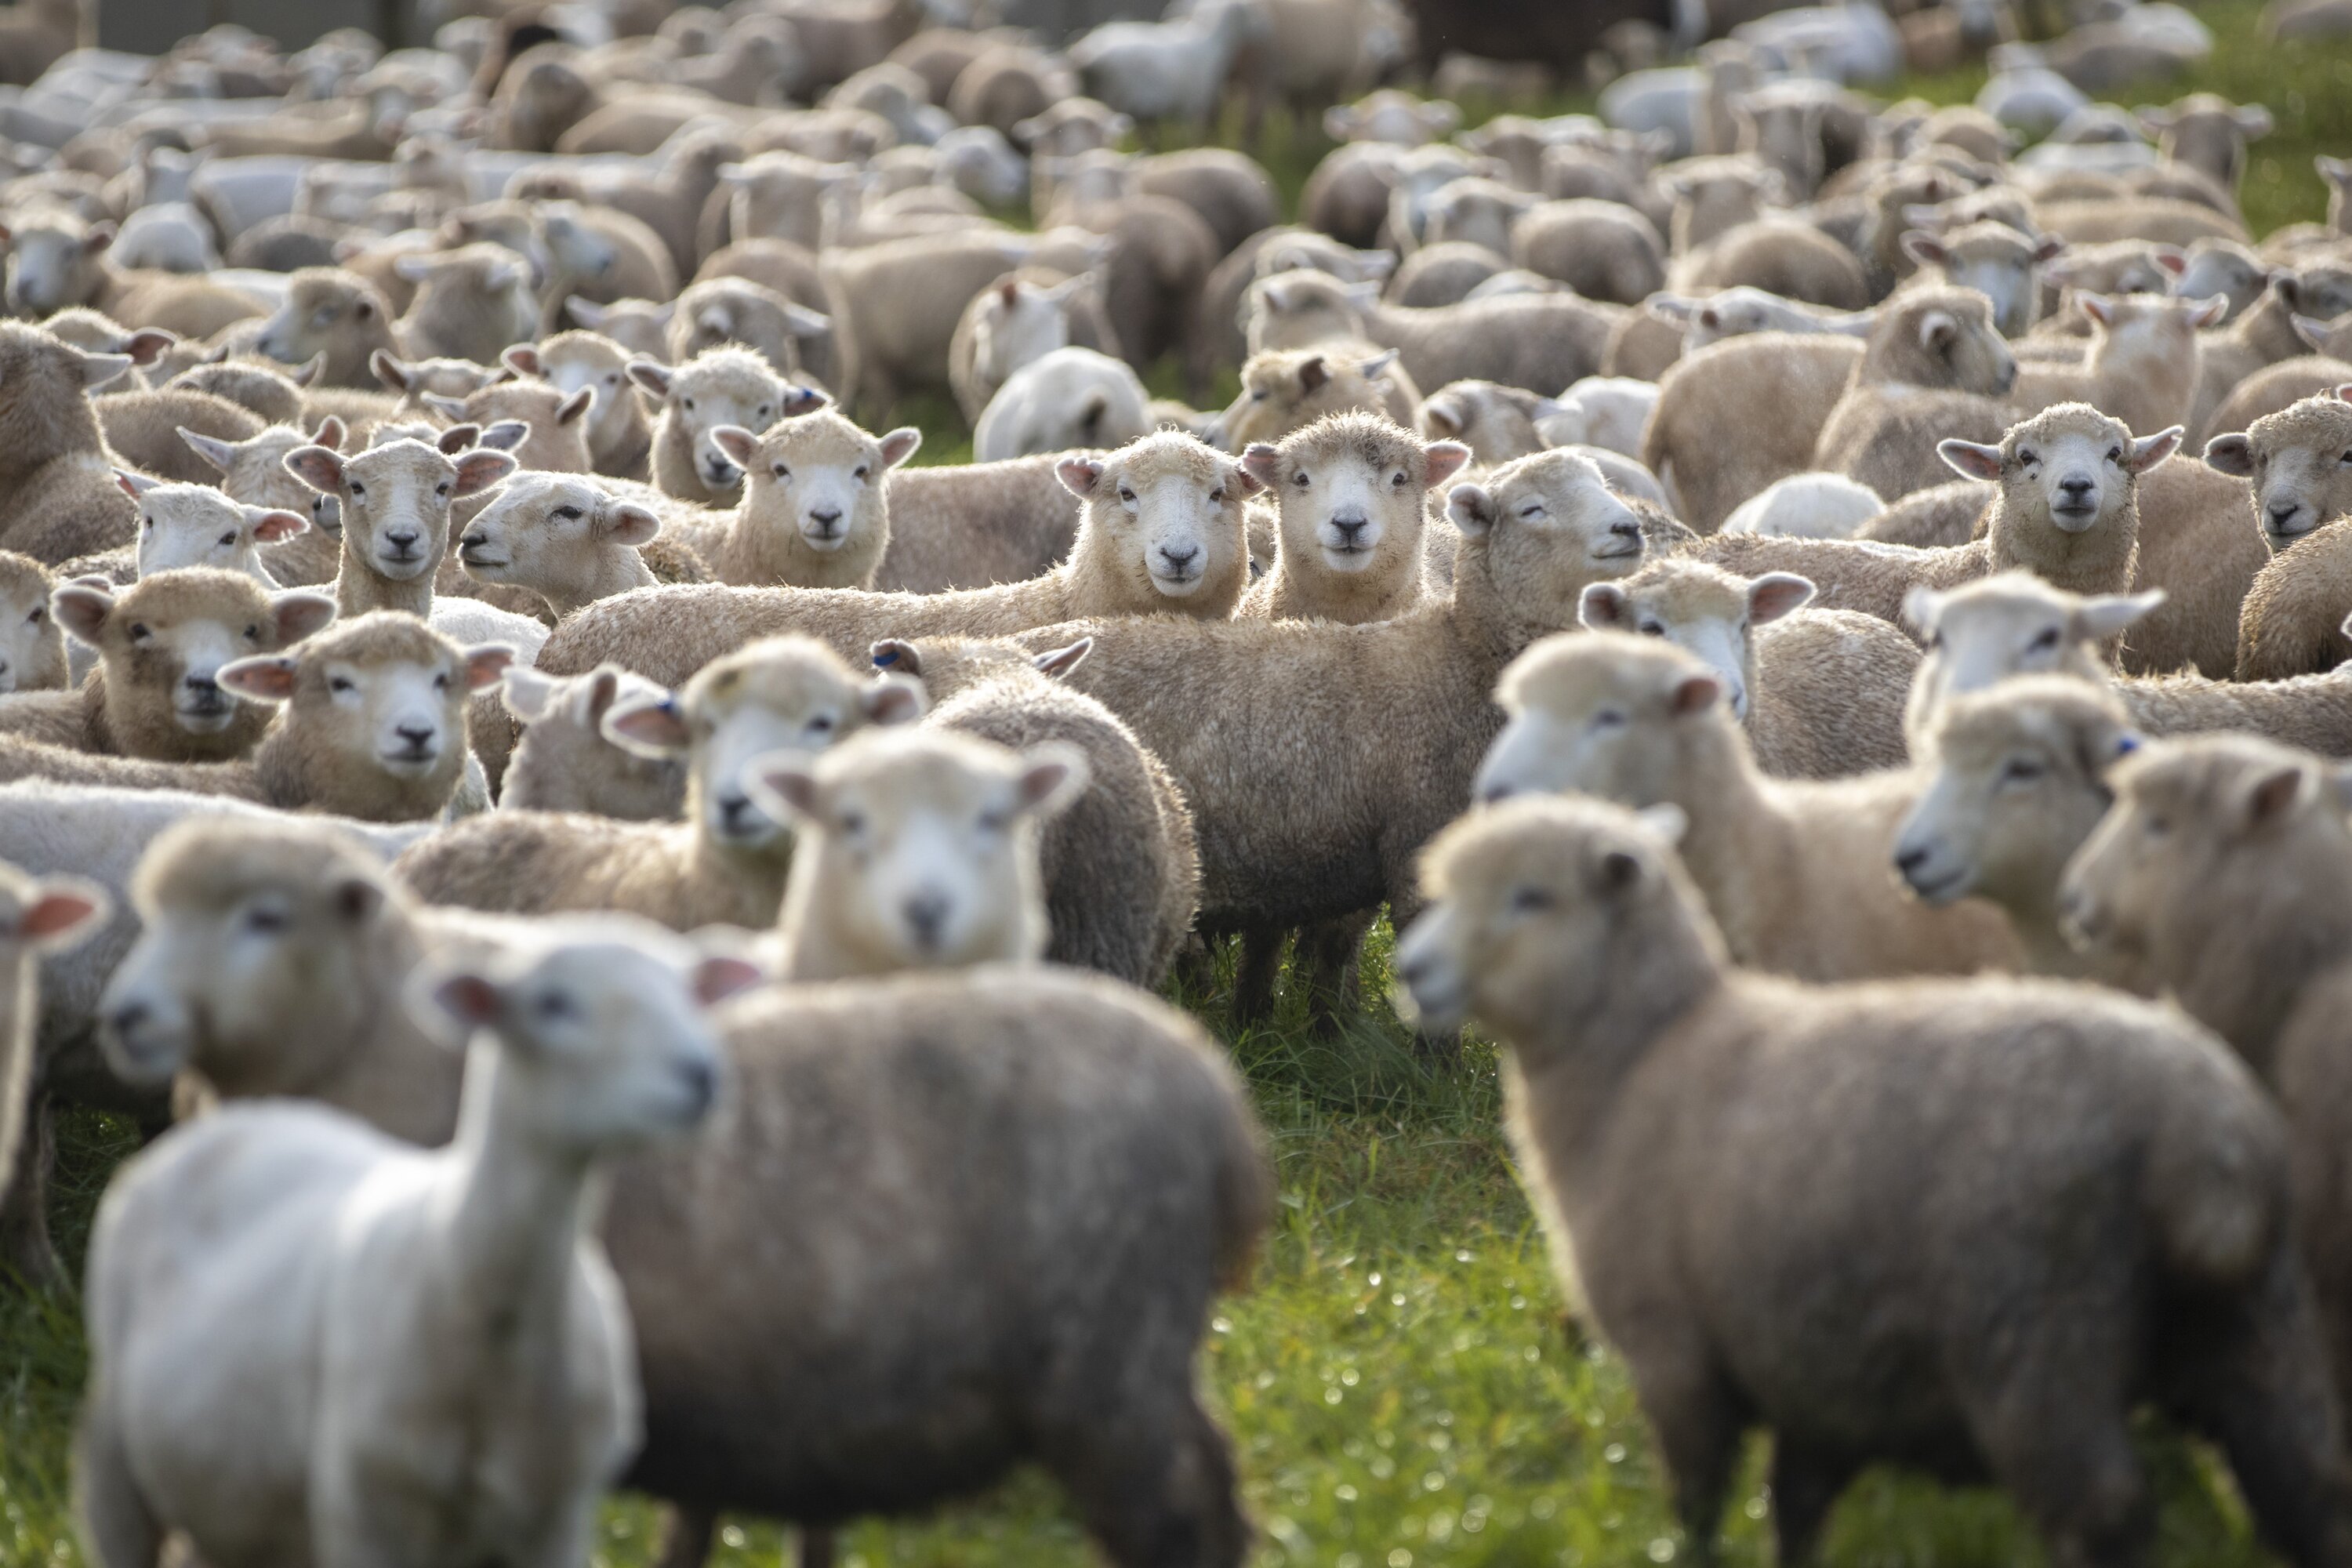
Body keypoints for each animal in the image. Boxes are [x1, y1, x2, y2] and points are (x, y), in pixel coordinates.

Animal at [77, 914, 735, 1568]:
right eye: (553, 1003)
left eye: (690, 994)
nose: (703, 1074)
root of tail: (250, 1116)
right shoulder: (365, 1514)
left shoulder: (556, 1521)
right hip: (116, 1471)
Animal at [1012, 449, 1659, 1024]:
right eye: (1532, 509)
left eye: (1603, 484)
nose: (1628, 528)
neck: (1467, 656)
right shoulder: (1421, 846)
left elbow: (1330, 952)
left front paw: (1325, 1030)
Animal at [1393, 791, 2346, 1568]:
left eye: (1530, 897)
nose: (1408, 970)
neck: (1640, 1057)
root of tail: (2209, 1146)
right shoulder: (1810, 1366)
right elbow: (1794, 1508)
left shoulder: (1676, 1353)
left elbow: (1697, 1508)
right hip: (2255, 1327)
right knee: (2307, 1483)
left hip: (2038, 1336)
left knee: (2105, 1510)